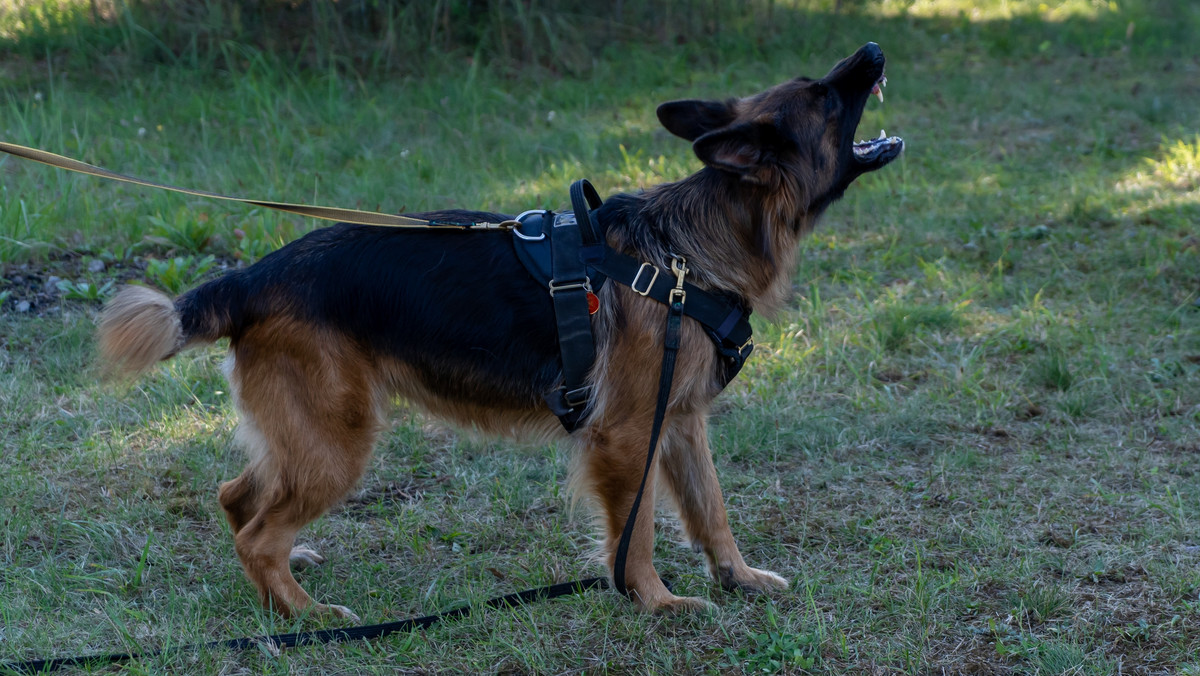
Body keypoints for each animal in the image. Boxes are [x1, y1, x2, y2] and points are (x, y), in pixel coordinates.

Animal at [96, 43, 902, 619]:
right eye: (825, 97)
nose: (871, 48)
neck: (684, 251)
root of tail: (250, 276)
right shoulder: (626, 435)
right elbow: (636, 531)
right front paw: (655, 601)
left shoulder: (677, 424)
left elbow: (712, 513)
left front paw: (736, 578)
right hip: (336, 444)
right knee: (255, 531)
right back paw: (306, 614)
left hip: (307, 437)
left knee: (237, 499)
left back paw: (288, 581)